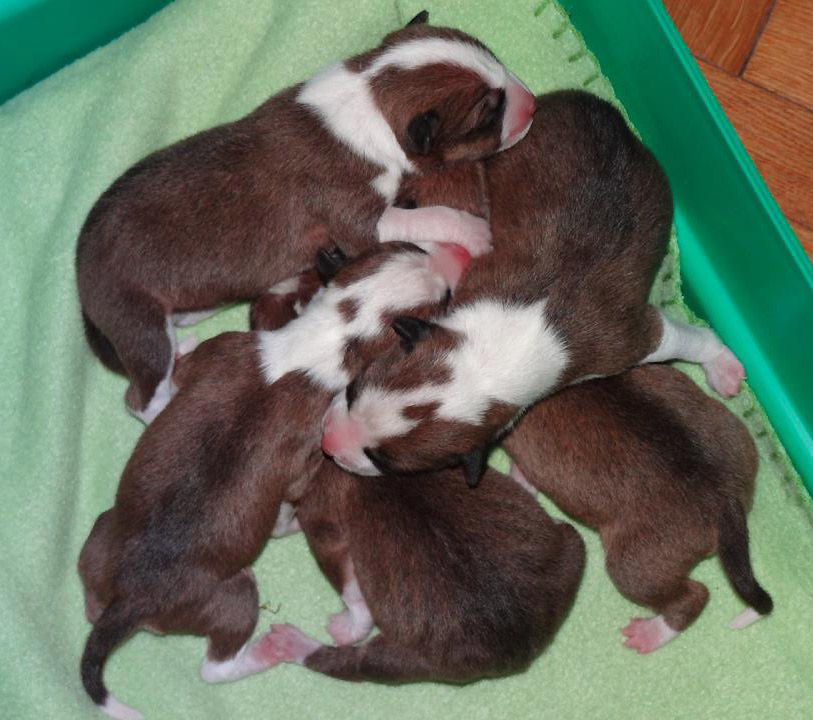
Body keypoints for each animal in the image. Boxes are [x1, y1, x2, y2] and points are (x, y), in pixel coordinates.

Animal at [74, 9, 532, 422]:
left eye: (495, 57)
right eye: (489, 112)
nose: (530, 104)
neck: (371, 94)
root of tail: (79, 277)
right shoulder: (358, 220)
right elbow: (425, 218)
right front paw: (473, 232)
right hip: (137, 323)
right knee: (138, 397)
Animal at [77, 242, 470, 720]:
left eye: (403, 247)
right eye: (445, 300)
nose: (451, 256)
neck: (326, 336)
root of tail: (129, 602)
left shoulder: (221, 350)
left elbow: (186, 377)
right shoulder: (309, 454)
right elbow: (292, 498)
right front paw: (288, 524)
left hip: (100, 537)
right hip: (232, 595)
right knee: (216, 666)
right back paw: (268, 650)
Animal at [254, 458, 584, 684]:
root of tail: (516, 651)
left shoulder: (321, 513)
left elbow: (341, 575)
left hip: (404, 661)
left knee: (354, 664)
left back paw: (292, 643)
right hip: (571, 548)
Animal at [318, 90, 744, 484]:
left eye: (383, 461)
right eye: (352, 390)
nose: (327, 444)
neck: (491, 356)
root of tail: (607, 109)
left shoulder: (625, 340)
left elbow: (684, 338)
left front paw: (723, 366)